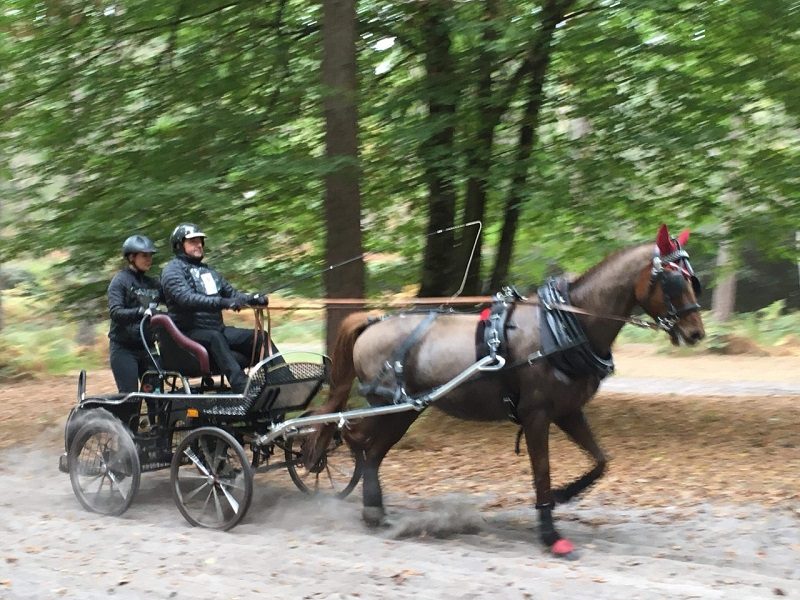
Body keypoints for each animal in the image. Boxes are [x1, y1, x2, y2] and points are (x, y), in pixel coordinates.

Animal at [304, 225, 704, 556]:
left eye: (693, 280)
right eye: (672, 281)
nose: (696, 332)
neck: (563, 329)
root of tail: (372, 322)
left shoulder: (568, 412)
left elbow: (600, 461)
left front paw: (563, 494)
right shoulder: (536, 416)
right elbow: (542, 472)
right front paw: (550, 534)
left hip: (406, 410)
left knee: (369, 450)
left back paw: (376, 512)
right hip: (388, 406)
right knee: (352, 435)